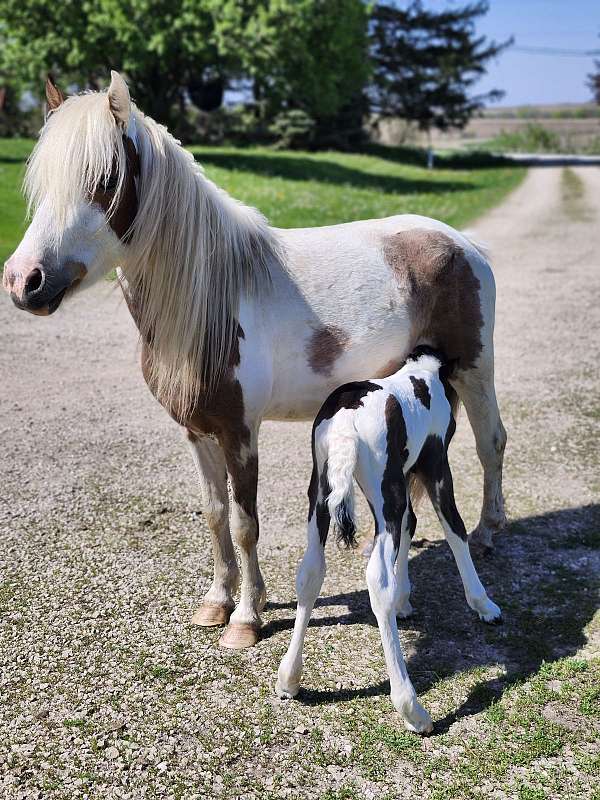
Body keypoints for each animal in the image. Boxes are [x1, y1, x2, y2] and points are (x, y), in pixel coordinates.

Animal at [3, 72, 507, 649]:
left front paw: (245, 619)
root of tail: (463, 243)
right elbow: (216, 515)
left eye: (105, 179)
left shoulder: (240, 432)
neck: (213, 299)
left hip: (475, 371)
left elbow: (246, 524)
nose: (23, 280)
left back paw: (487, 534)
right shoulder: (198, 432)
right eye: (41, 185)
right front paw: (218, 602)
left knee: (491, 444)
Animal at [275, 345, 502, 733]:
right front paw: (484, 605)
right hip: (385, 490)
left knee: (310, 572)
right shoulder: (435, 464)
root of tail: (345, 425)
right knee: (377, 578)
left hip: (323, 494)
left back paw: (289, 678)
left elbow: (412, 524)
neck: (422, 374)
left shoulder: (401, 478)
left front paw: (404, 601)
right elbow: (454, 528)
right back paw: (413, 709)